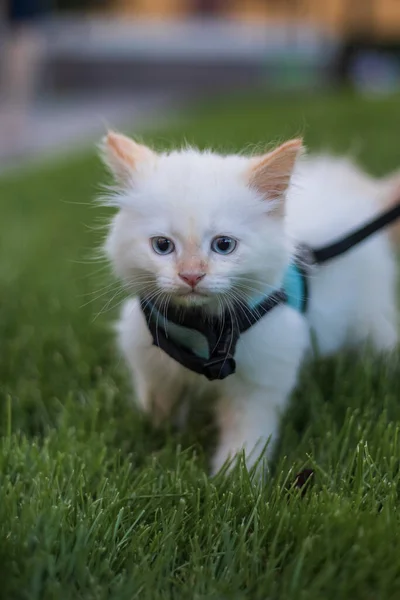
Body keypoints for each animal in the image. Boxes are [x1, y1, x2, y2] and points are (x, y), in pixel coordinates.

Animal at [101, 134, 400, 476]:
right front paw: (155, 444)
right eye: (162, 246)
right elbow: (159, 408)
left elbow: (246, 438)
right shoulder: (150, 360)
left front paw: (232, 479)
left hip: (369, 316)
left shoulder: (261, 378)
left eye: (224, 245)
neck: (203, 326)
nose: (191, 275)